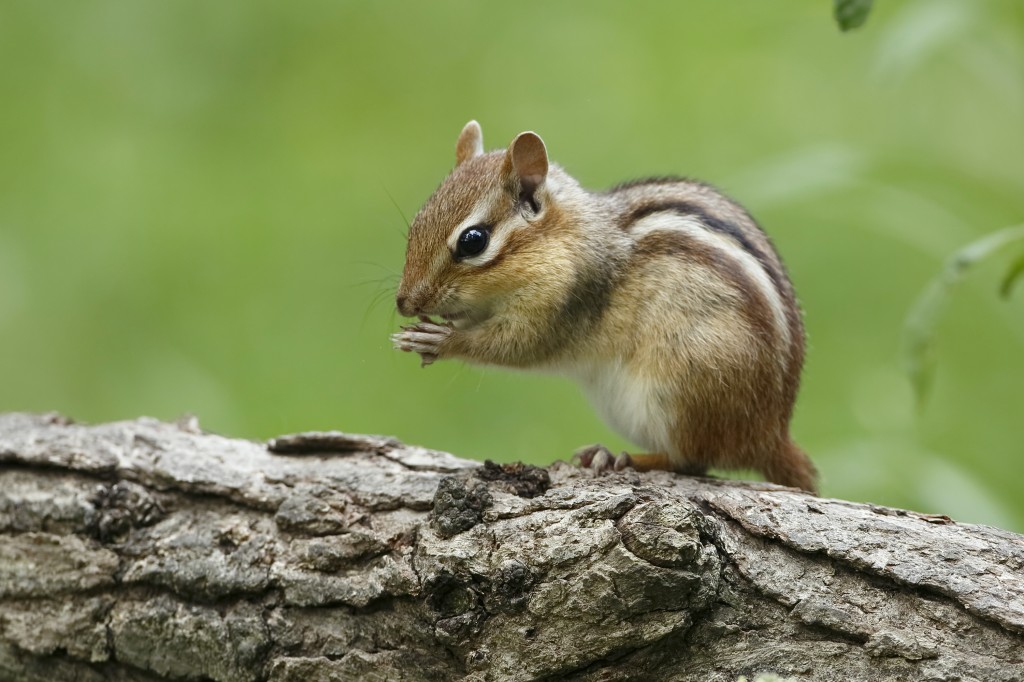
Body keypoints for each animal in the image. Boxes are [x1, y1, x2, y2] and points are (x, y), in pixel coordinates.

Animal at [392, 121, 818, 493]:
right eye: (415, 225)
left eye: (473, 240)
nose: (404, 302)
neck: (566, 238)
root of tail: (769, 434)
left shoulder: (561, 304)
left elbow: (513, 346)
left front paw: (442, 341)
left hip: (682, 387)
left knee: (692, 459)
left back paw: (622, 457)